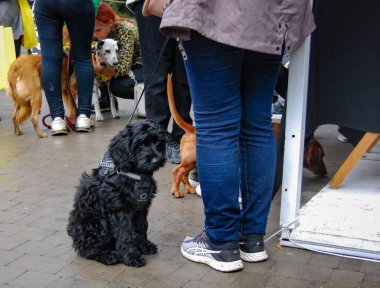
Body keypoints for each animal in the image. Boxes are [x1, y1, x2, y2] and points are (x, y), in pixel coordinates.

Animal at [66, 120, 166, 268]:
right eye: (141, 144)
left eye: (159, 142)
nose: (157, 160)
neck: (135, 175)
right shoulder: (119, 209)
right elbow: (125, 234)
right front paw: (131, 256)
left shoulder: (141, 208)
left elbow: (141, 228)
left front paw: (144, 246)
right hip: (95, 224)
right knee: (88, 250)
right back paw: (107, 256)